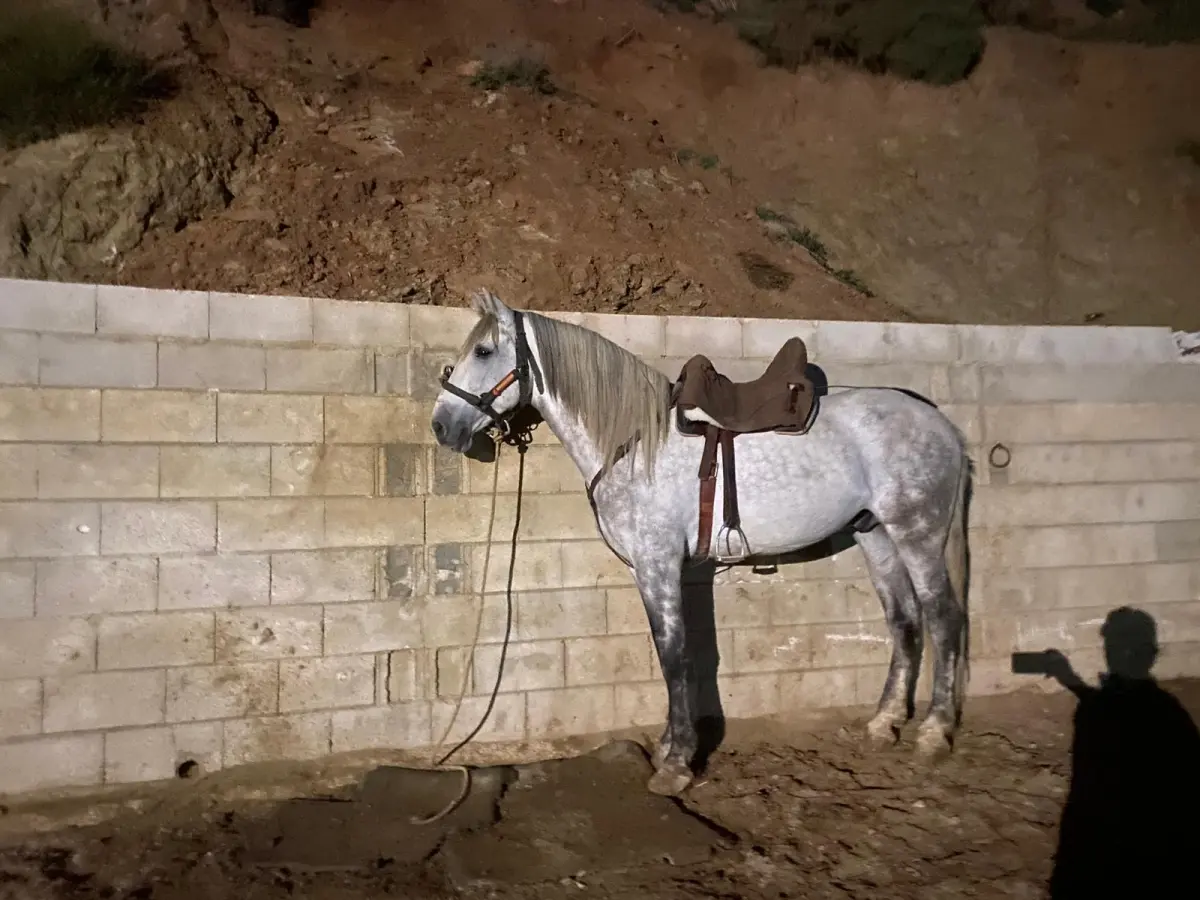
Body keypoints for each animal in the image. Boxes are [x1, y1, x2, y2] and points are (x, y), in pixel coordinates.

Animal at [431, 290, 971, 796]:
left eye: (483, 350)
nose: (441, 425)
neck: (634, 443)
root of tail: (940, 423)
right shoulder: (647, 569)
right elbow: (670, 652)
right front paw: (670, 744)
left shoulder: (658, 563)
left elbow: (674, 654)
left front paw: (676, 764)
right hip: (875, 535)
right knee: (905, 621)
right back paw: (885, 723)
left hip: (917, 532)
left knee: (943, 617)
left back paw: (934, 732)